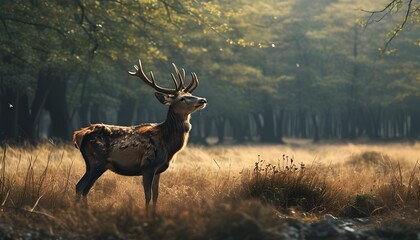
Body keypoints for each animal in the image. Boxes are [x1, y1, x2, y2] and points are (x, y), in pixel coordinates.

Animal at [74, 60, 208, 216]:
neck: (168, 144)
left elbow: (156, 195)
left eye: (190, 94)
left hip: (91, 164)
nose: (203, 100)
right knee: (84, 189)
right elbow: (148, 195)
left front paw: (154, 214)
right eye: (182, 98)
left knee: (79, 186)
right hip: (98, 162)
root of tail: (79, 134)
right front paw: (147, 215)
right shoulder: (147, 166)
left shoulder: (158, 169)